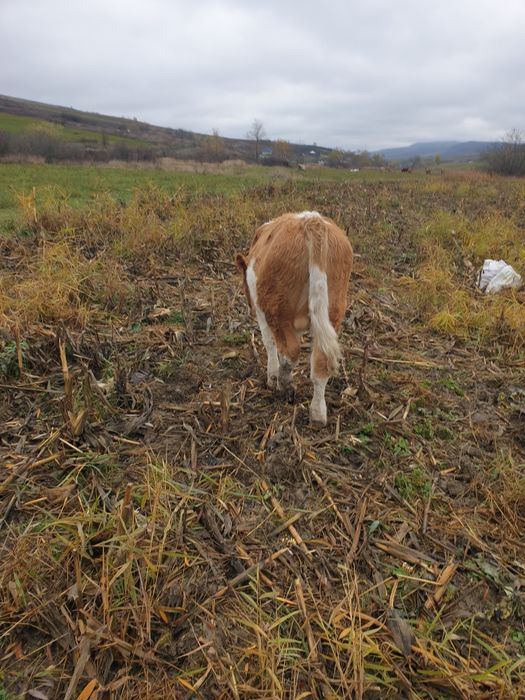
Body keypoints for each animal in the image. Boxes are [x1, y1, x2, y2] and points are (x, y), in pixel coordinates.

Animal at [236, 211, 353, 426]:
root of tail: (312, 221)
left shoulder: (262, 313)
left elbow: (270, 345)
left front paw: (271, 377)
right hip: (334, 309)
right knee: (321, 361)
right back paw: (318, 414)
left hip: (276, 309)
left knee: (290, 351)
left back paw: (283, 385)